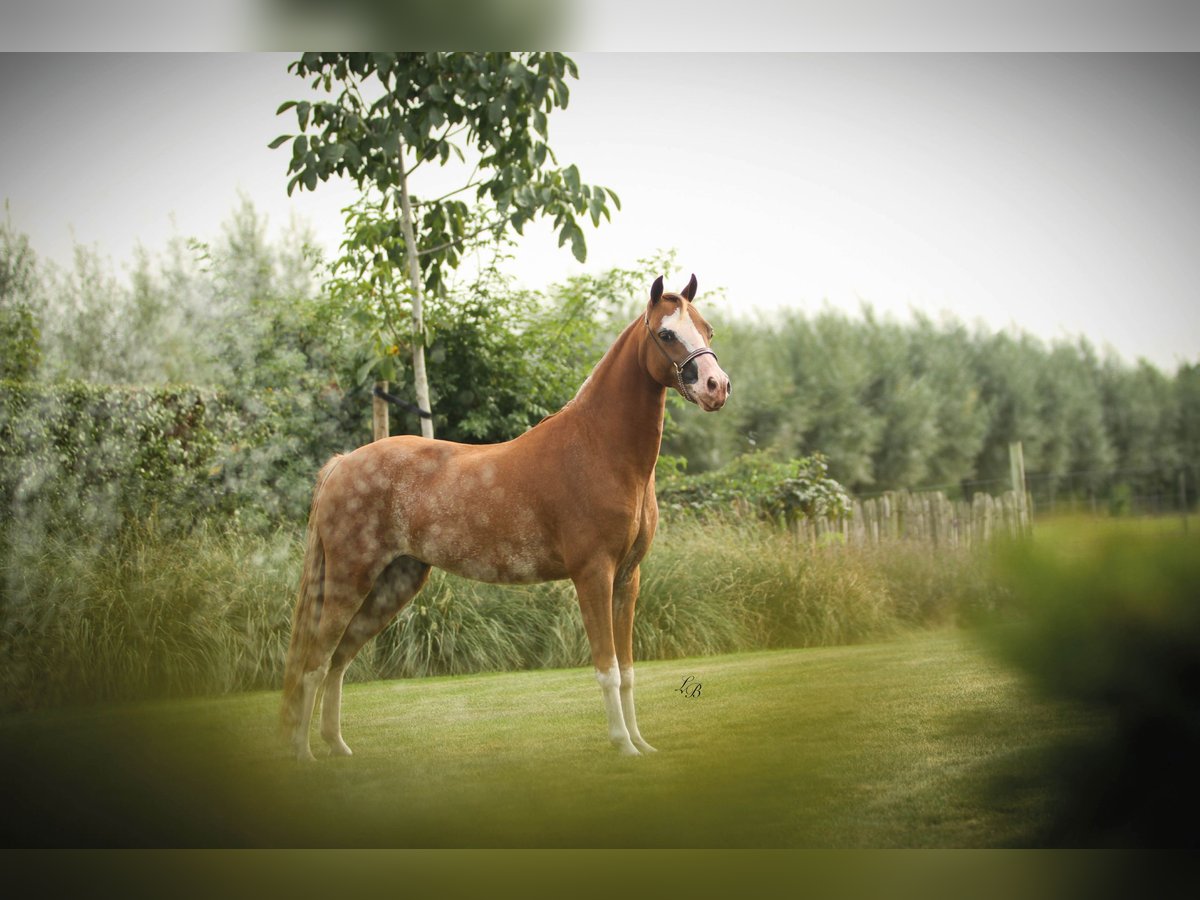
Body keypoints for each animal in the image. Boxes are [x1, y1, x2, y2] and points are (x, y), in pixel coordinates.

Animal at [280, 274, 729, 763]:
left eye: (707, 330)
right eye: (666, 333)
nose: (716, 386)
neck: (599, 449)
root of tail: (342, 463)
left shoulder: (628, 579)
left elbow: (627, 671)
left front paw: (641, 743)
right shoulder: (593, 575)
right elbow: (606, 669)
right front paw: (623, 746)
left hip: (394, 582)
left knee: (339, 660)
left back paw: (337, 746)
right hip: (349, 579)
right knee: (315, 660)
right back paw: (303, 754)